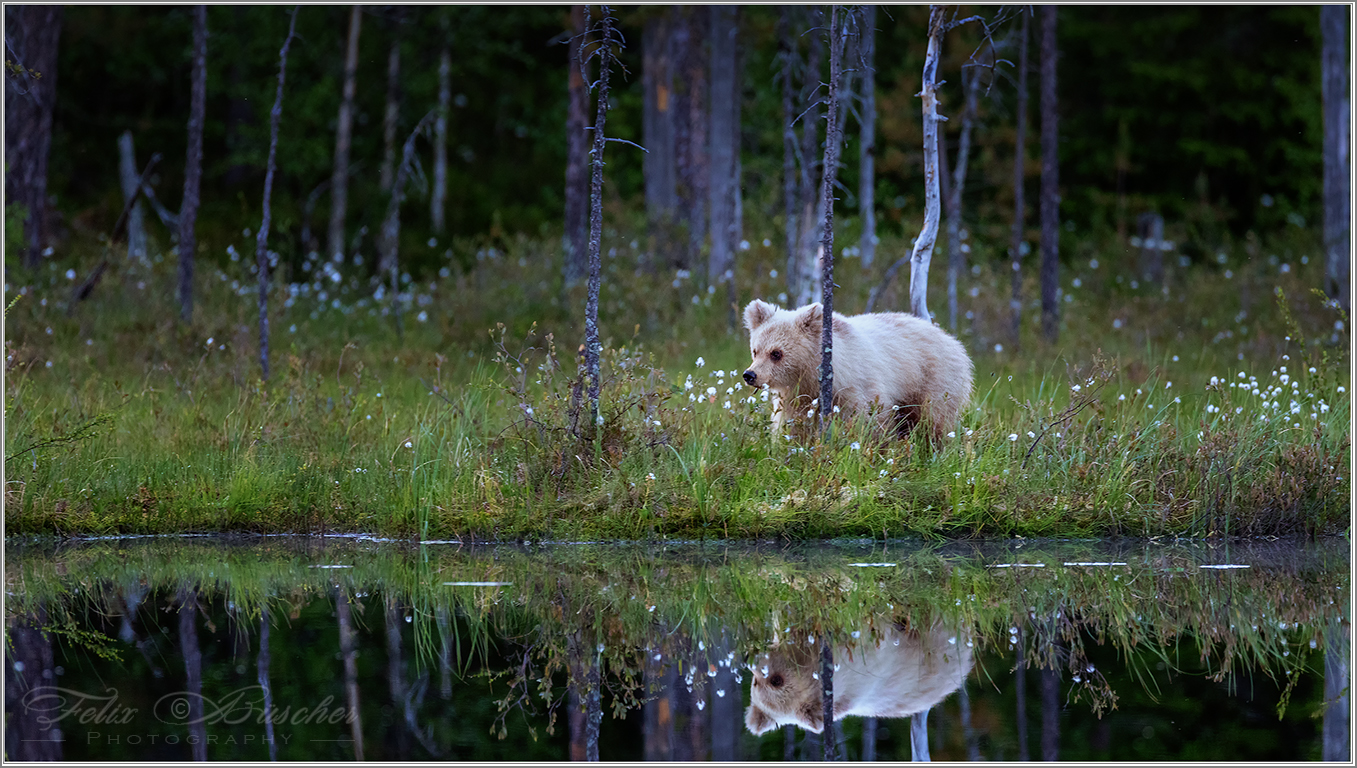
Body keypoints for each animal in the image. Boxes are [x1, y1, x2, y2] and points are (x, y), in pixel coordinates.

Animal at [743, 302, 977, 445]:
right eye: (755, 350)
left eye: (776, 353)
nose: (750, 375)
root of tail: (952, 339)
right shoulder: (796, 398)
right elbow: (793, 427)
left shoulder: (857, 387)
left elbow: (869, 421)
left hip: (934, 381)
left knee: (936, 421)